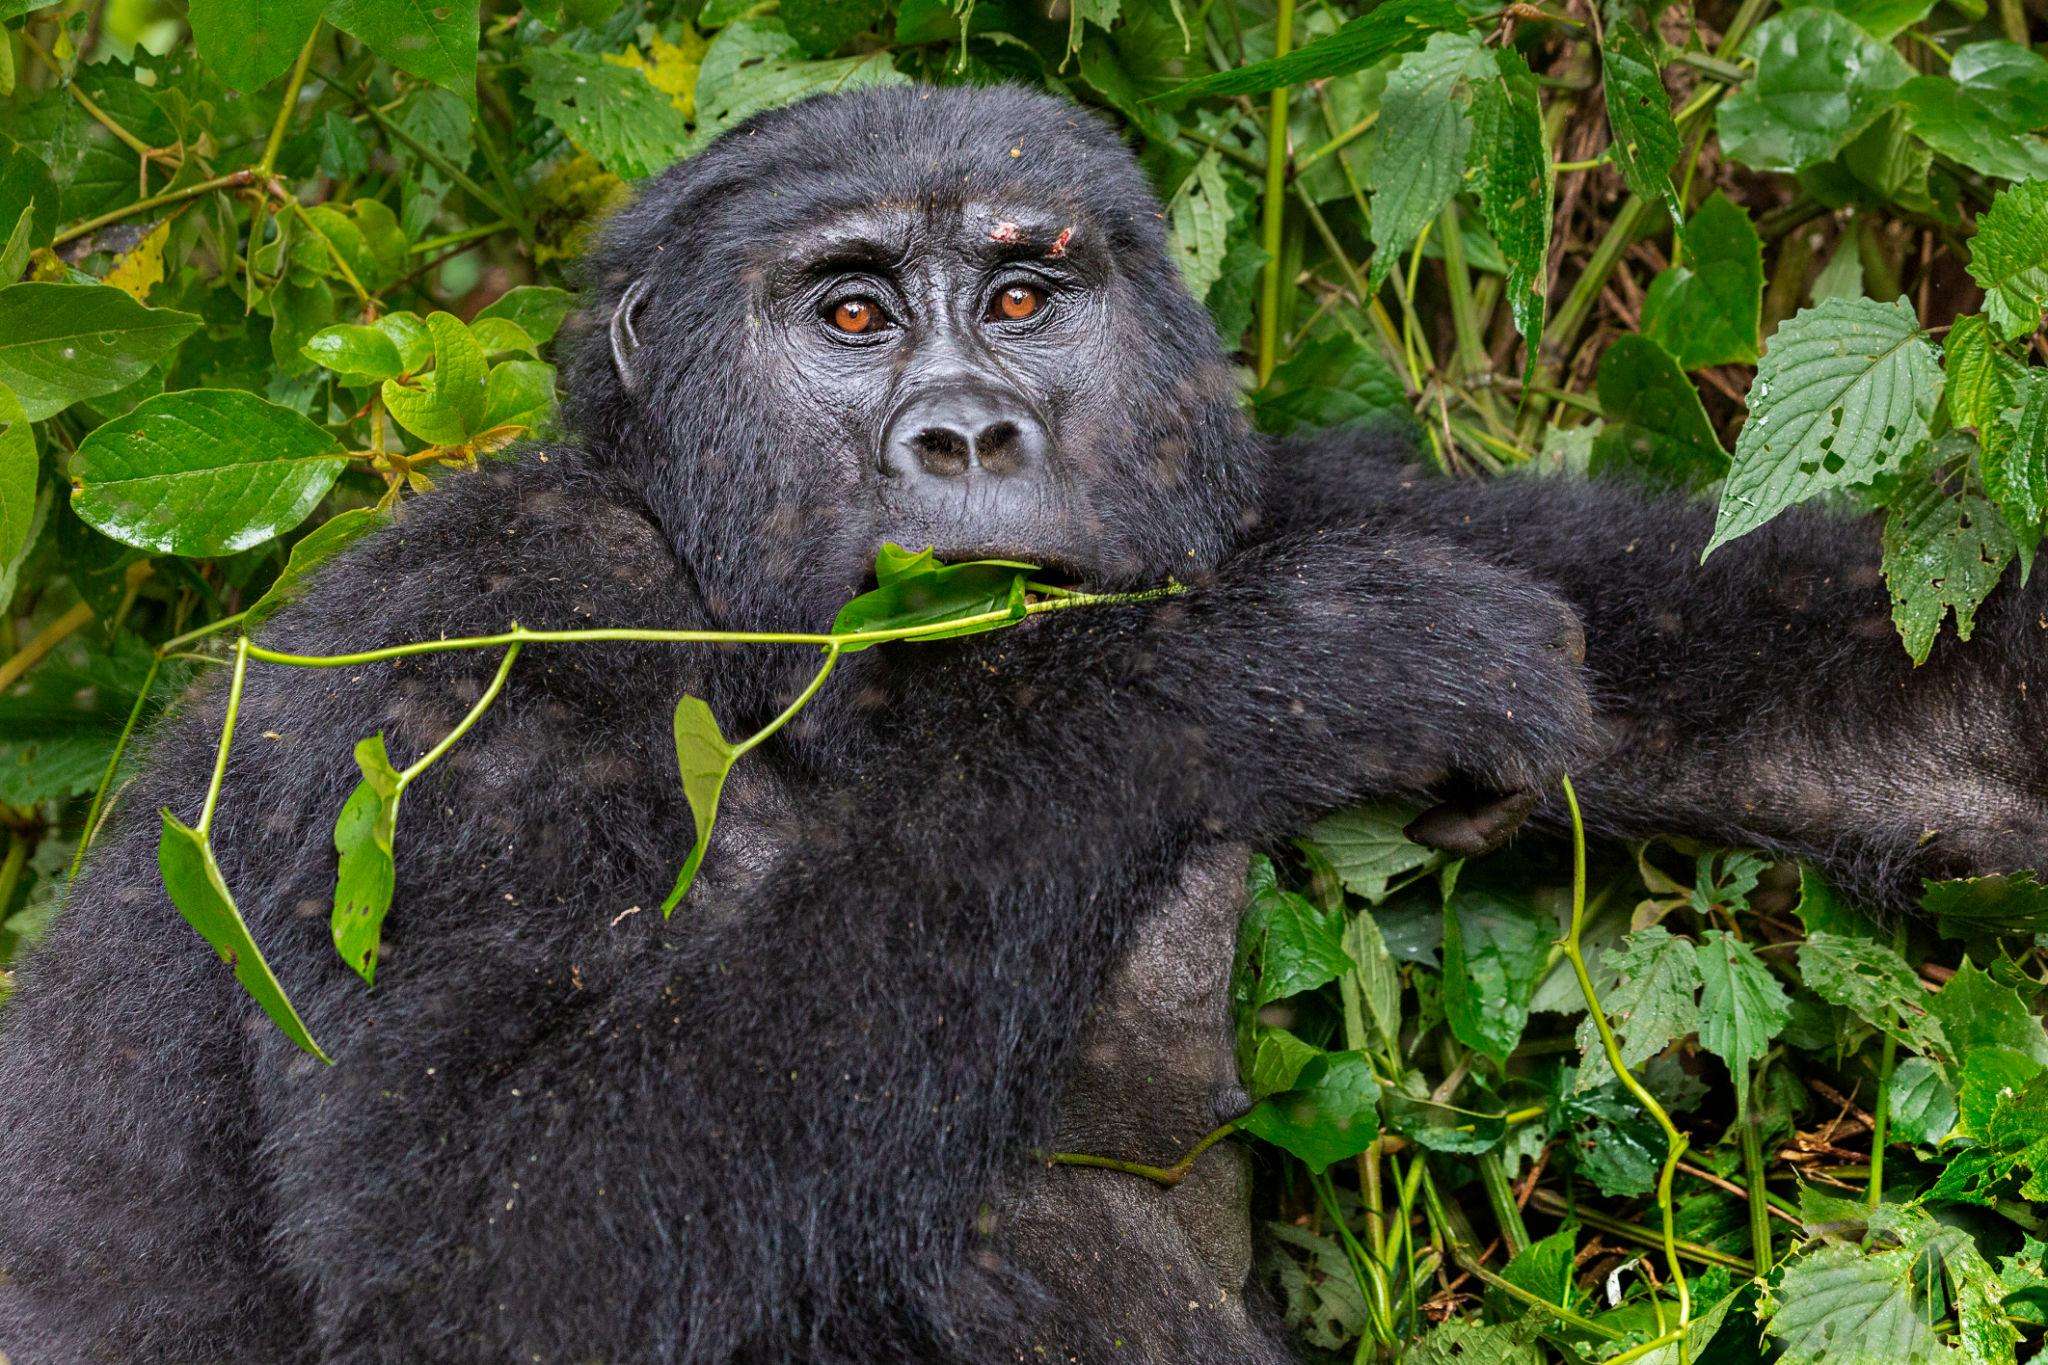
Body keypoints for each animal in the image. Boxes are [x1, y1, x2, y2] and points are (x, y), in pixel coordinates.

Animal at [0, 85, 2039, 1364]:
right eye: (845, 316)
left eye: (1023, 294)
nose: (969, 434)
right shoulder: (460, 656)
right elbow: (493, 1259)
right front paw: (1282, 669)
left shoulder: (1247, 483)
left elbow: (1909, 719)